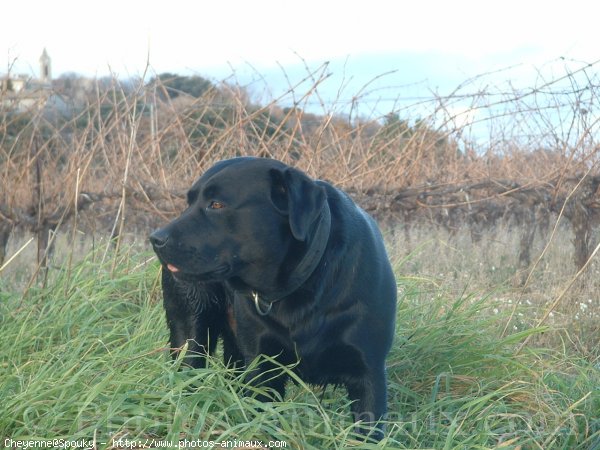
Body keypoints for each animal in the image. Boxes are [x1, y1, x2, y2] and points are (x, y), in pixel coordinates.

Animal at [149, 156, 398, 438]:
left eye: (217, 204)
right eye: (189, 203)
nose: (156, 238)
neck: (304, 283)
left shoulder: (369, 371)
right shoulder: (262, 366)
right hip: (190, 331)